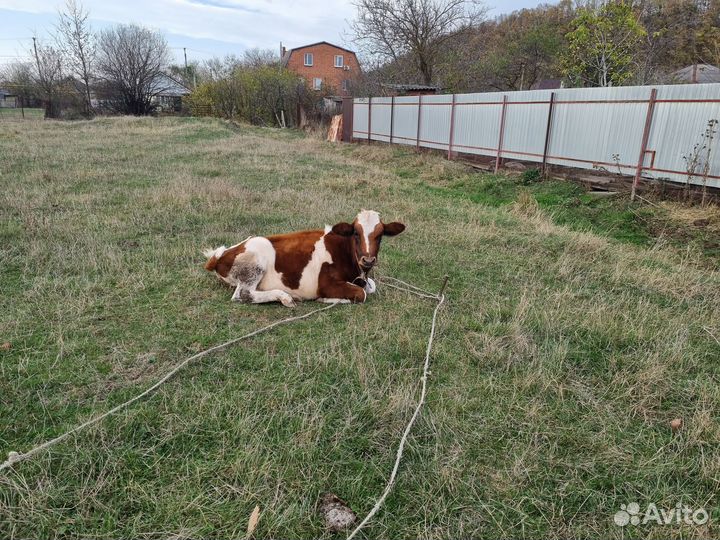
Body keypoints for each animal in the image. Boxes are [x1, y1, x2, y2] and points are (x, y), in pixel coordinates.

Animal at [203, 210, 405, 306]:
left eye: (380, 235)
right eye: (356, 233)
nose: (368, 260)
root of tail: (221, 254)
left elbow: (370, 287)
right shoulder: (325, 283)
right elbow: (361, 293)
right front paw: (326, 299)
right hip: (256, 259)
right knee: (243, 294)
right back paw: (285, 297)